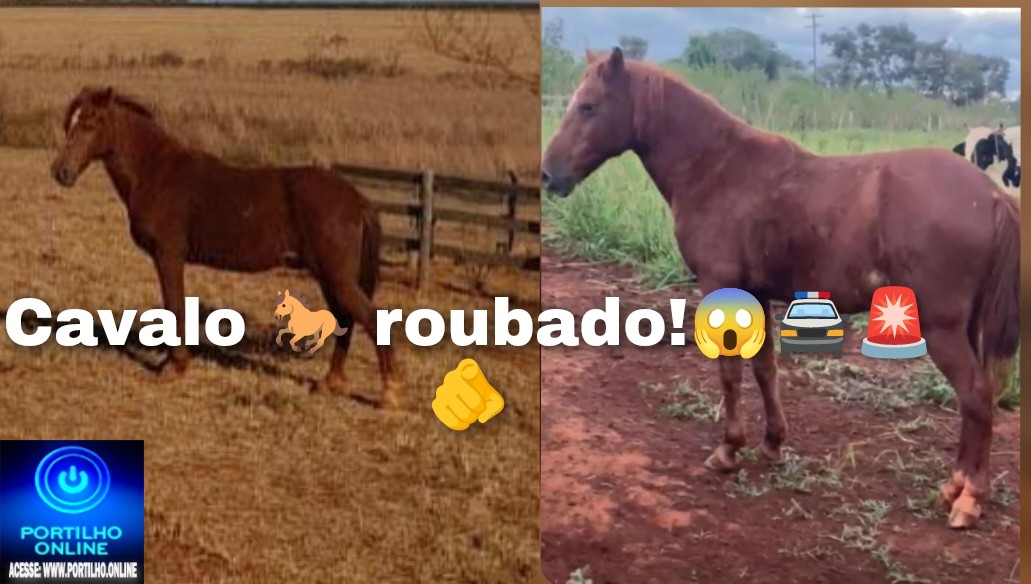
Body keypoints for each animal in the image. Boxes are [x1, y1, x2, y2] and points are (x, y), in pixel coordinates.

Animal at [51, 86, 398, 407]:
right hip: (328, 277)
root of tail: (357, 199)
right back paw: (330, 383)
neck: (155, 171)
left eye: (91, 123)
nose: (61, 172)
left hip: (336, 277)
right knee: (345, 320)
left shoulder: (168, 256)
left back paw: (388, 394)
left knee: (368, 319)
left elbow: (174, 307)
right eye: (70, 123)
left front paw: (173, 367)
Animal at [542, 48, 1019, 530]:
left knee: (976, 397)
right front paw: (771, 444)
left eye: (588, 107)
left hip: (941, 327)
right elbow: (764, 369)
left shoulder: (721, 287)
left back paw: (969, 499)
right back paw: (954, 487)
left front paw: (728, 449)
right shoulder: (756, 294)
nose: (548, 175)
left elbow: (730, 371)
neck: (717, 168)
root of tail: (992, 195)